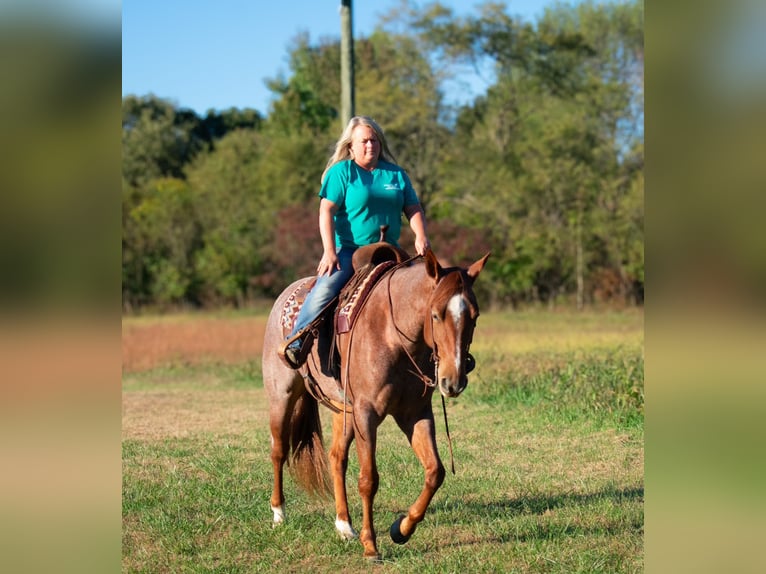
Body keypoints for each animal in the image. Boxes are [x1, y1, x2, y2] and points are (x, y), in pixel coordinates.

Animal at [264, 249, 492, 564]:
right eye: (436, 314)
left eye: (474, 316)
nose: (453, 380)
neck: (393, 336)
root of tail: (285, 296)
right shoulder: (367, 414)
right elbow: (369, 479)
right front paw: (371, 545)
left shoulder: (415, 414)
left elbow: (435, 471)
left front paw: (402, 529)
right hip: (282, 396)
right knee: (278, 451)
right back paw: (279, 514)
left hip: (343, 412)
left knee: (336, 458)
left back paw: (344, 525)